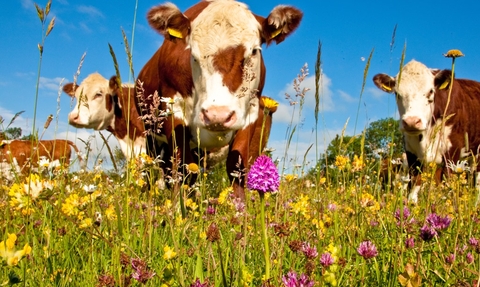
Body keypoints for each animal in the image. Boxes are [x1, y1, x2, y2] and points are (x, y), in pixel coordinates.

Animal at [135, 0, 300, 199]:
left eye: (254, 51)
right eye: (193, 55)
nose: (217, 116)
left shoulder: (250, 111)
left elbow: (237, 167)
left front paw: (239, 207)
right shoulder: (173, 108)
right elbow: (183, 168)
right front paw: (178, 206)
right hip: (151, 135)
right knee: (155, 169)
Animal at [374, 60, 480, 205]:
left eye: (430, 91)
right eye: (397, 93)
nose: (412, 121)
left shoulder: (452, 153)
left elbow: (448, 188)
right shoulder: (411, 154)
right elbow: (414, 187)